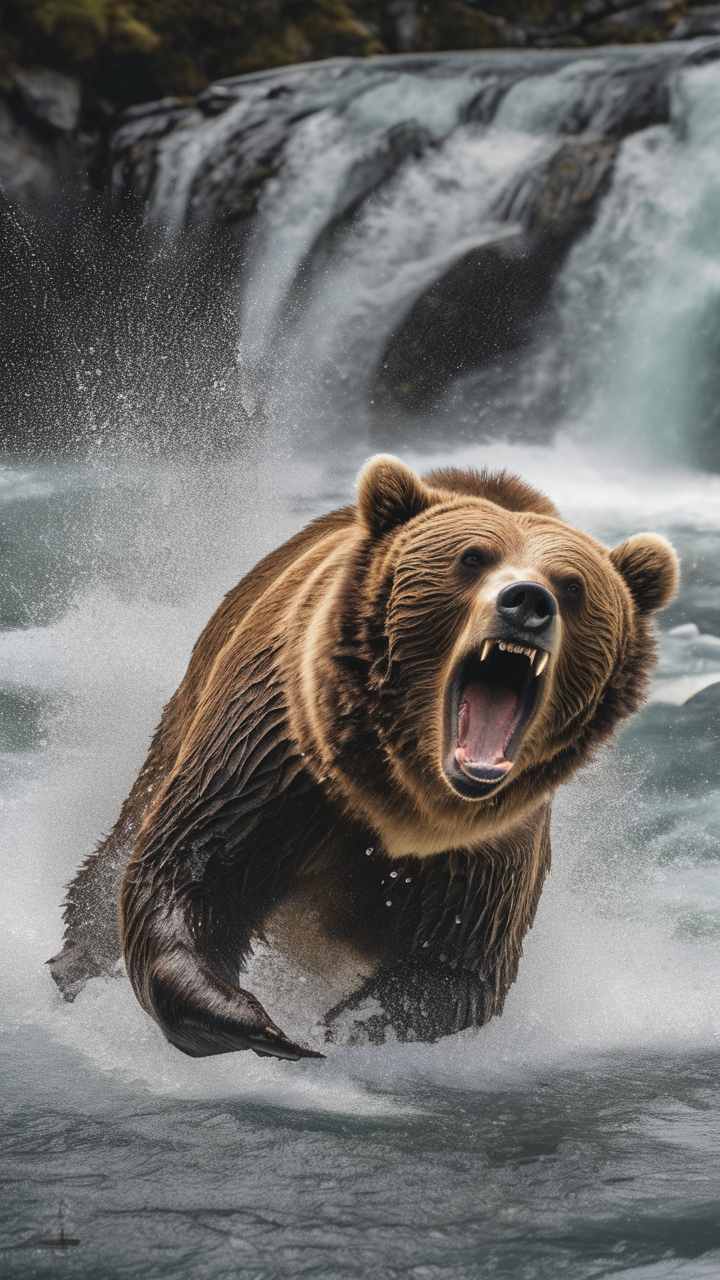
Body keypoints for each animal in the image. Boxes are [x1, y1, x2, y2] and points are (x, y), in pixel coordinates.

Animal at [48, 456, 679, 1061]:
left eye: (572, 585)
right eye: (472, 557)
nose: (528, 602)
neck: (401, 790)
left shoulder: (490, 839)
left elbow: (454, 965)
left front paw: (340, 1030)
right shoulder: (277, 752)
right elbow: (192, 864)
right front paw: (264, 1027)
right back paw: (75, 964)